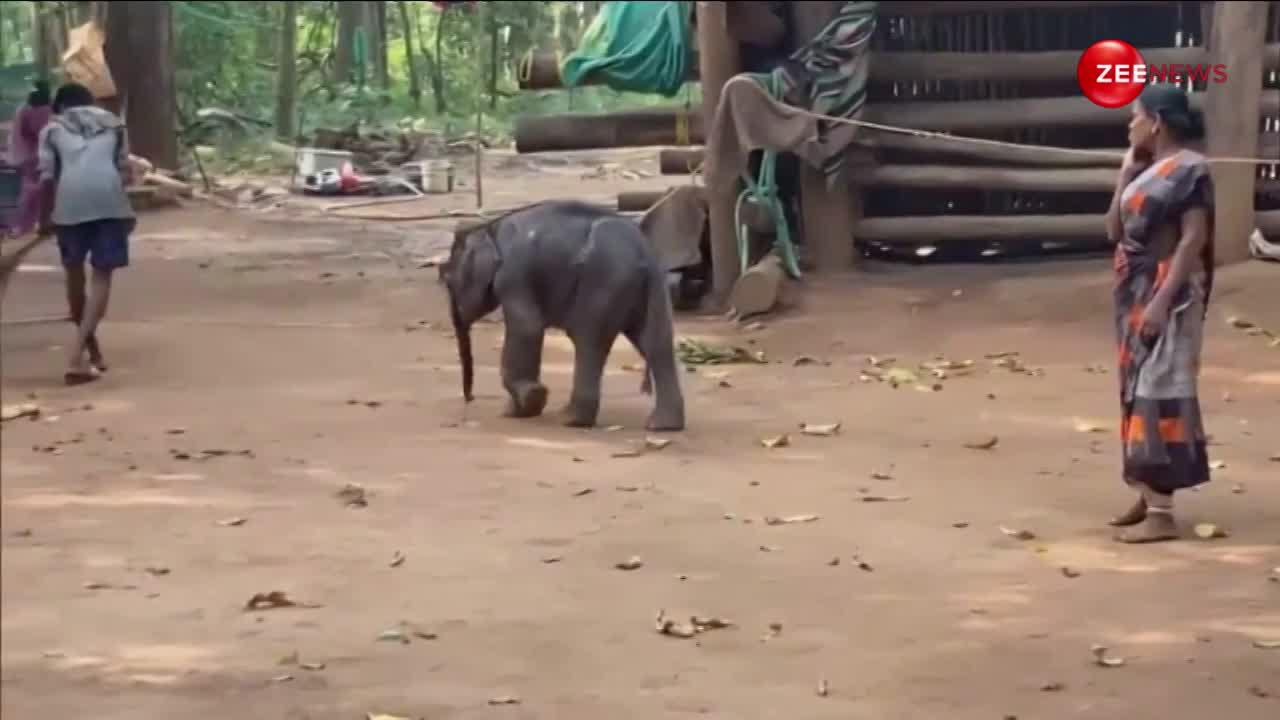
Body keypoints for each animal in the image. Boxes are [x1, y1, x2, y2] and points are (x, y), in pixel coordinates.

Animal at [440, 198, 686, 427]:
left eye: (448, 282)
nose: (470, 398)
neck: (490, 227)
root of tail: (644, 252)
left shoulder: (513, 275)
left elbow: (528, 327)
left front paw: (528, 402)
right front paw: (518, 409)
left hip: (604, 279)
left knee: (589, 340)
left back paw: (570, 418)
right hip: (651, 285)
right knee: (656, 343)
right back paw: (662, 425)